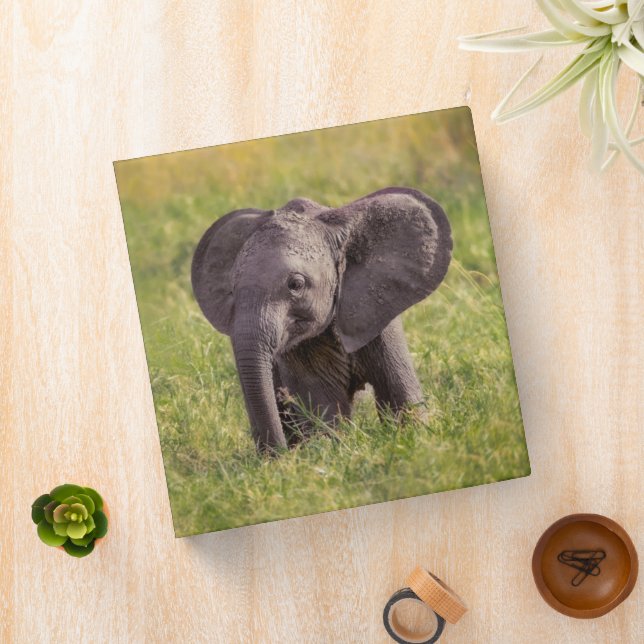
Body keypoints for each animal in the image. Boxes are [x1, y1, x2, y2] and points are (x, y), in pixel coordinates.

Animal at [191, 187, 452, 452]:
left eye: (296, 285)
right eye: (232, 290)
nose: (280, 454)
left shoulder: (377, 315)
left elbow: (400, 396)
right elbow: (323, 409)